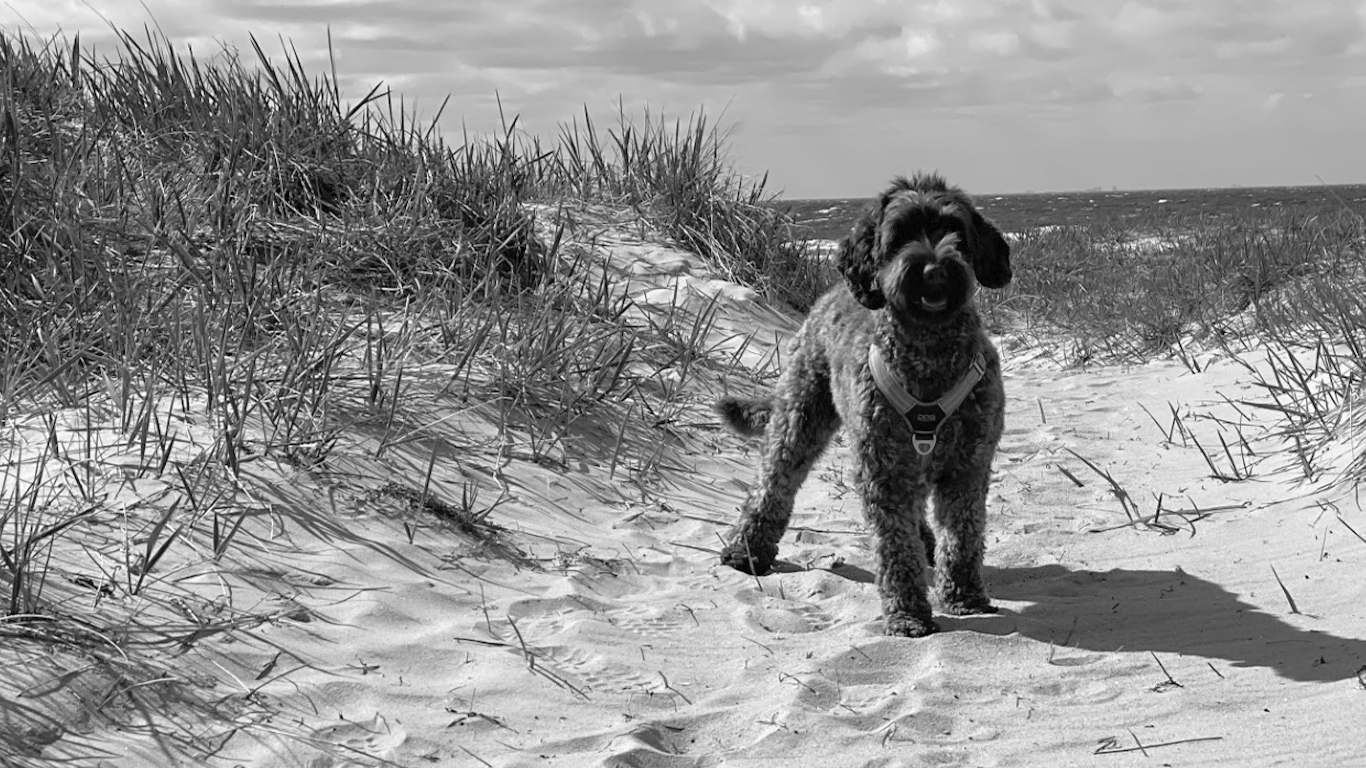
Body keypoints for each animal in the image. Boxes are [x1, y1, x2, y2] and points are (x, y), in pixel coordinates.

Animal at [715, 172, 1016, 634]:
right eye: (900, 235)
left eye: (955, 233)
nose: (934, 270)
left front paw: (964, 596)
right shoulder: (884, 470)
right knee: (773, 483)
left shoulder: (967, 465)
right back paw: (746, 550)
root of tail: (832, 291)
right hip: (799, 417)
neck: (929, 352)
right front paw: (908, 614)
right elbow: (895, 550)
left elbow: (963, 536)